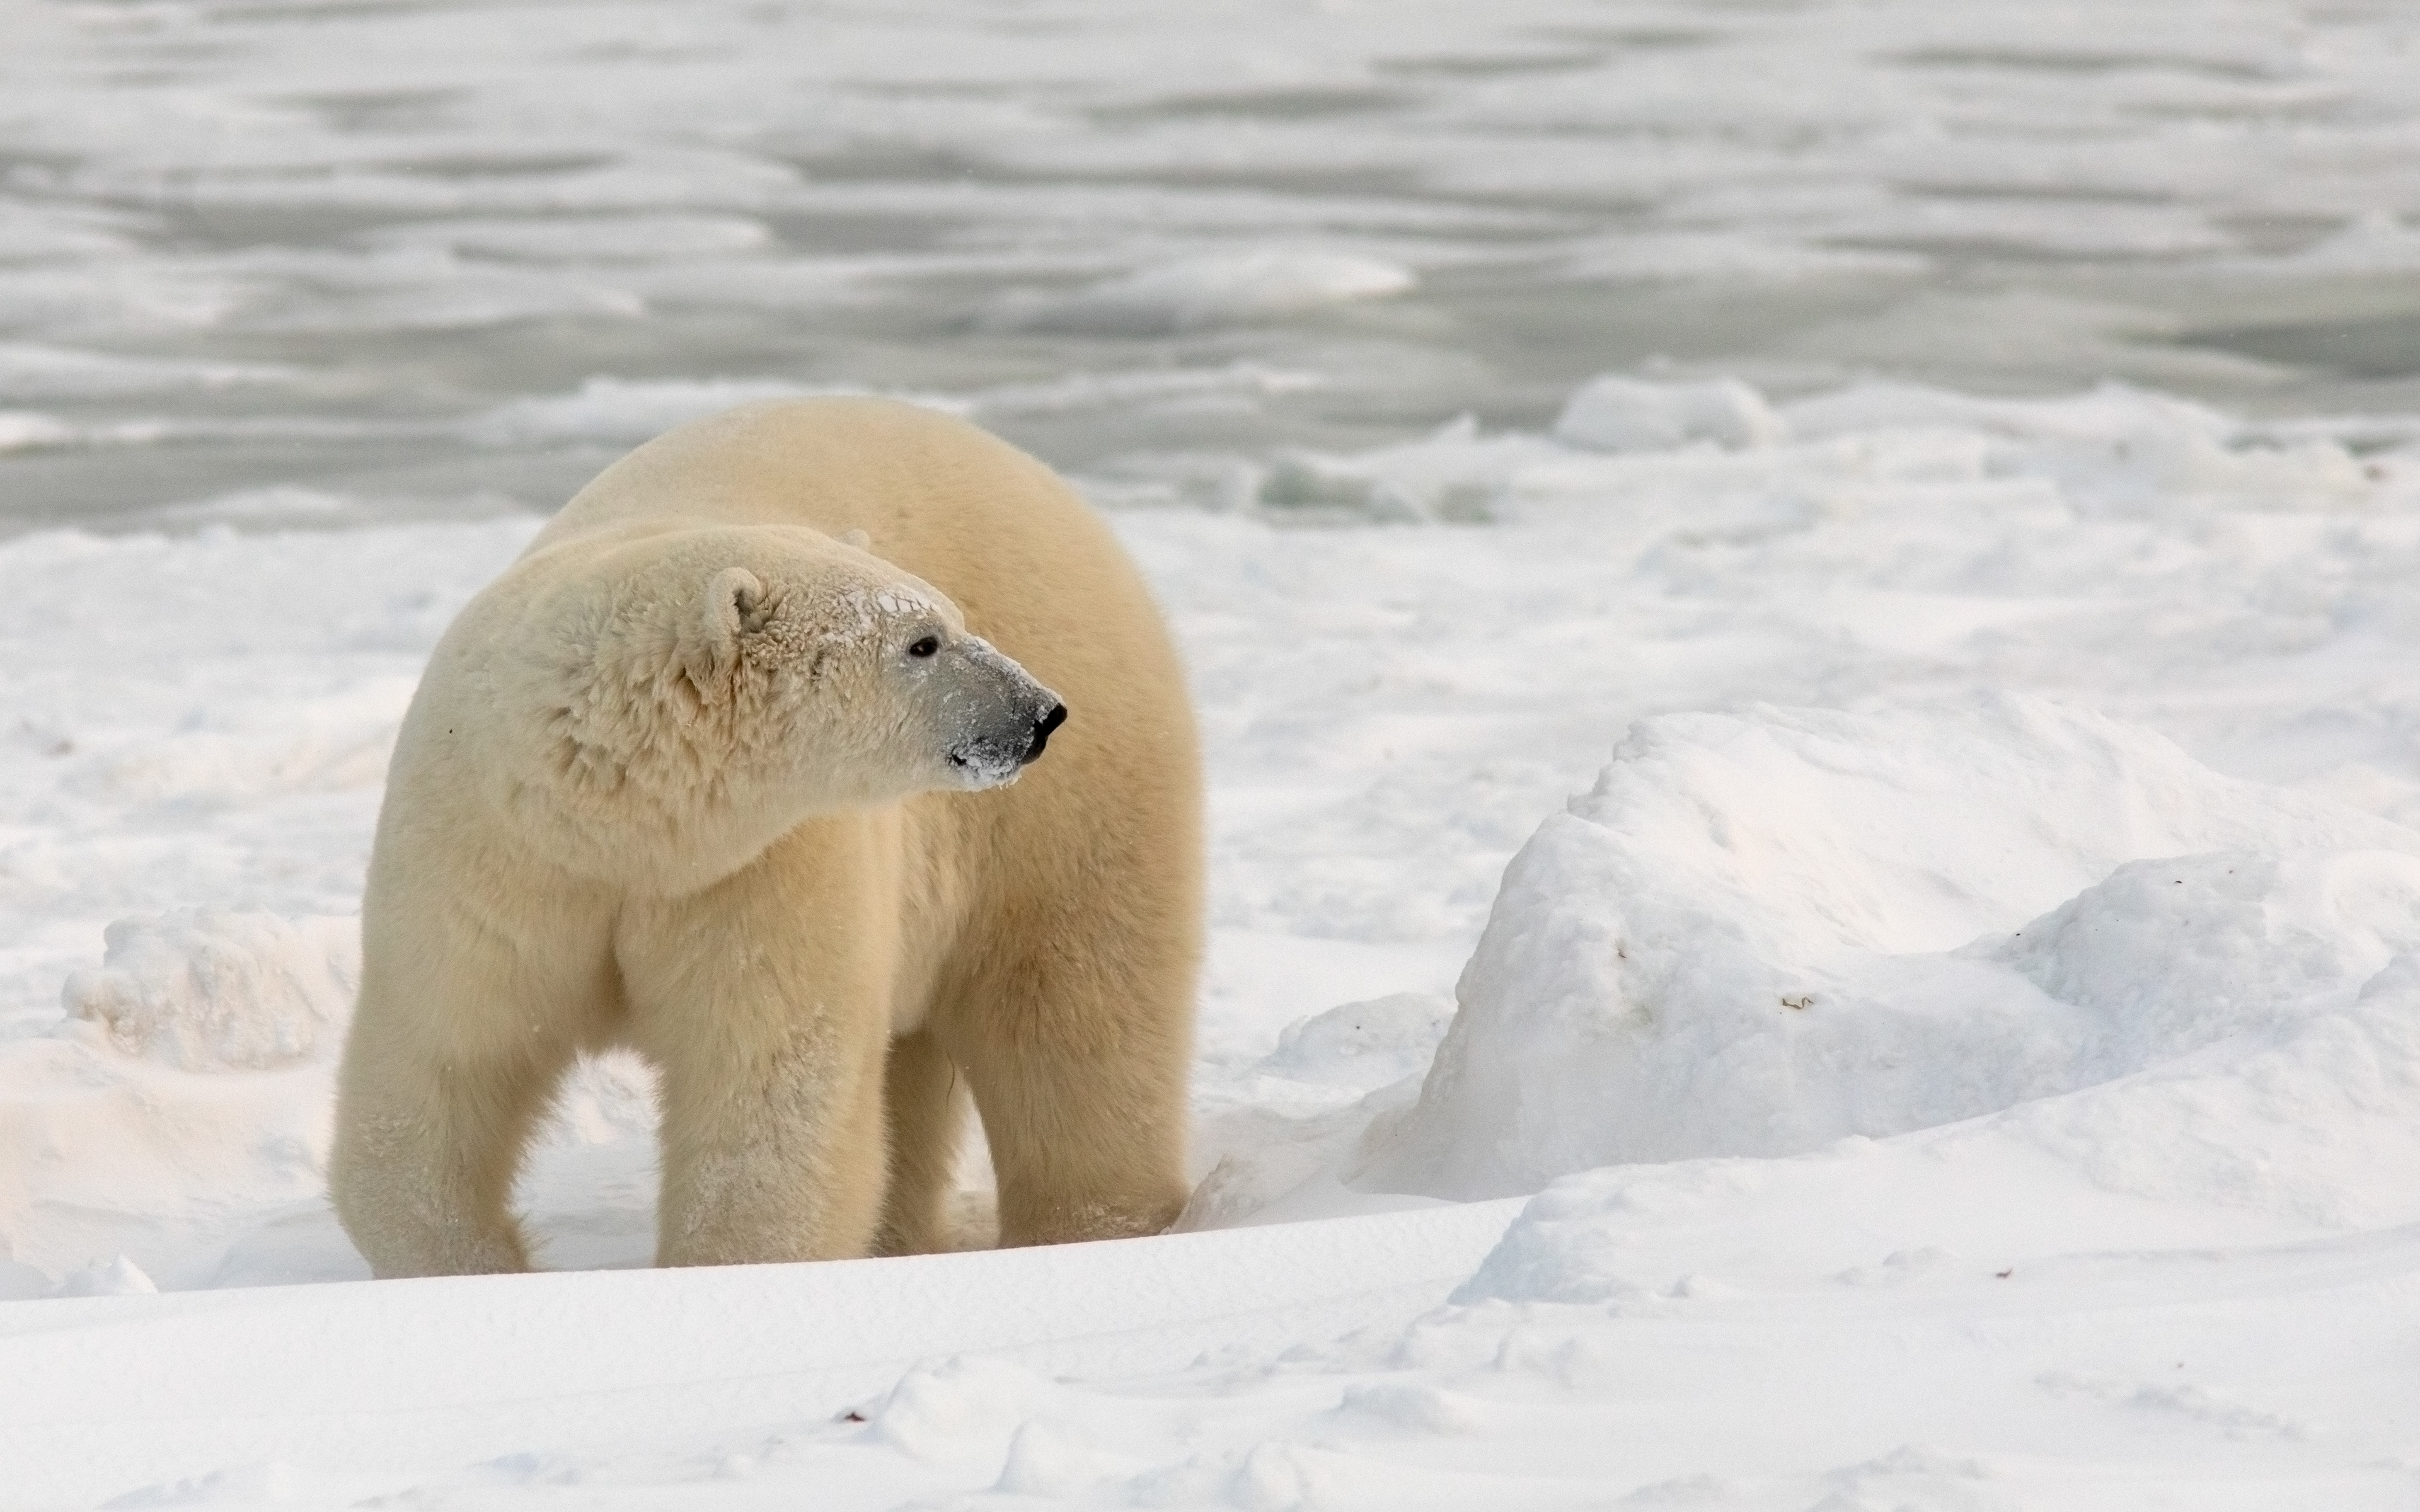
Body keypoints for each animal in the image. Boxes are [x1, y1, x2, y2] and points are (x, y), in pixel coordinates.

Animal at [328, 397, 1202, 1277]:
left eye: (951, 617)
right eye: (922, 641)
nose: (1040, 713)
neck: (616, 821)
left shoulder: (765, 864)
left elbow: (767, 1087)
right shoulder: (496, 860)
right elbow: (445, 1057)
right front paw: (477, 1267)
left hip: (1070, 807)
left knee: (1074, 1012)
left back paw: (1089, 1226)